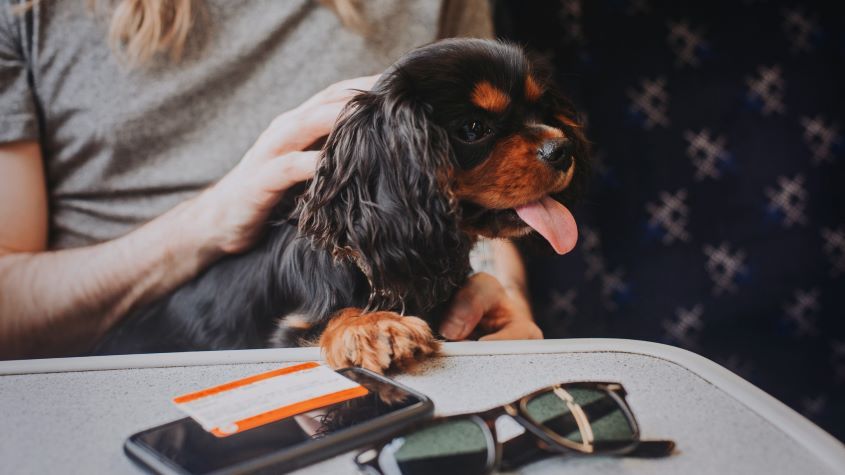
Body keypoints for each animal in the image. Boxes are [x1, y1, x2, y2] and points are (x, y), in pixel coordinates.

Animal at [94, 39, 588, 374]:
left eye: (542, 112)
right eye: (473, 128)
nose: (562, 149)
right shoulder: (287, 331)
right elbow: (332, 316)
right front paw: (372, 327)